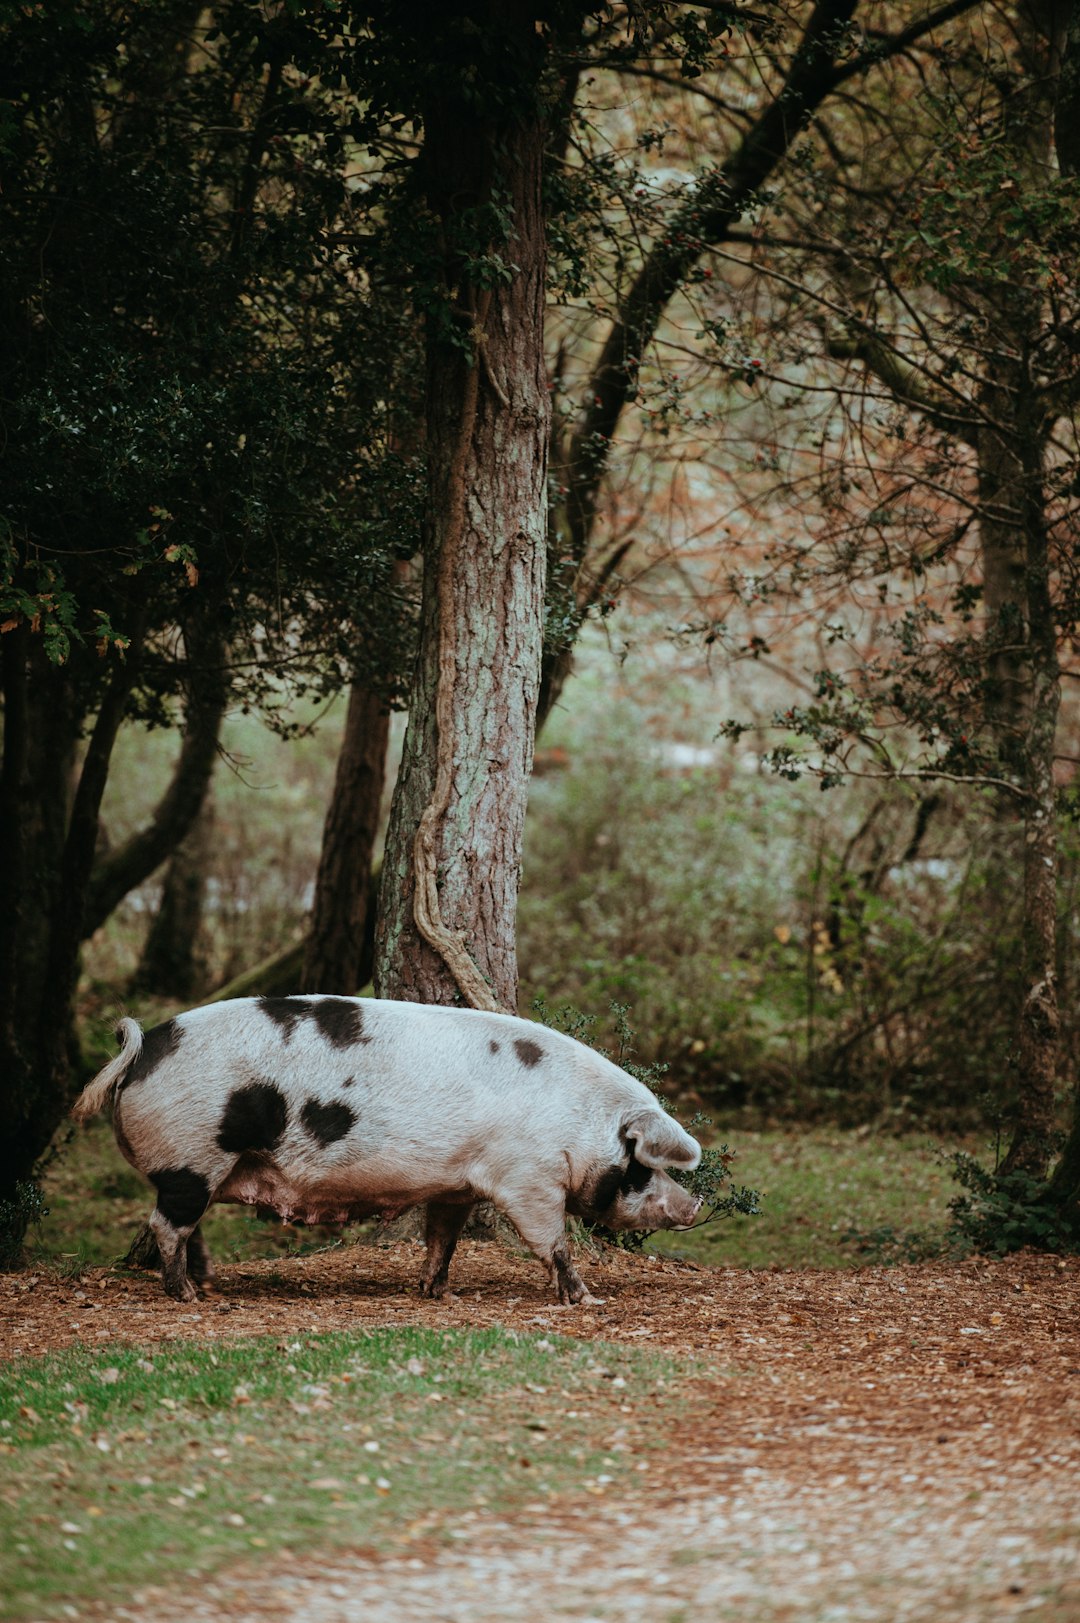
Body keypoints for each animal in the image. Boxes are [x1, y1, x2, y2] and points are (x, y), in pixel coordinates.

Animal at [71, 993, 704, 1298]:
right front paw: (588, 1300)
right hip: (193, 1155)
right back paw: (189, 1297)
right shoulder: (529, 1177)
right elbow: (552, 1242)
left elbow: (443, 1238)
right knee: (167, 1225)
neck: (578, 1121)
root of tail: (144, 1048)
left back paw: (206, 1284)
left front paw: (436, 1293)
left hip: (203, 1164)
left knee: (186, 1226)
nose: (694, 1205)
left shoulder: (458, 1183)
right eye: (642, 1167)